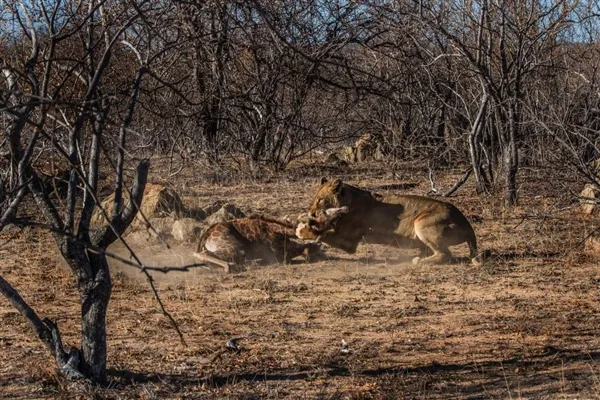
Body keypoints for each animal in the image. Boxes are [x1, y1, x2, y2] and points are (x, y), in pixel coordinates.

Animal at [195, 206, 350, 272]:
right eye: (327, 212)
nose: (345, 208)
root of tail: (206, 235)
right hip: (234, 247)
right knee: (202, 253)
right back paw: (233, 266)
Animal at [300, 178, 482, 266]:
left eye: (320, 200)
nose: (311, 213)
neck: (349, 200)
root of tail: (466, 223)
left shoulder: (349, 242)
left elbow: (323, 235)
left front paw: (305, 231)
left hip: (421, 222)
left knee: (445, 255)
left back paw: (418, 261)